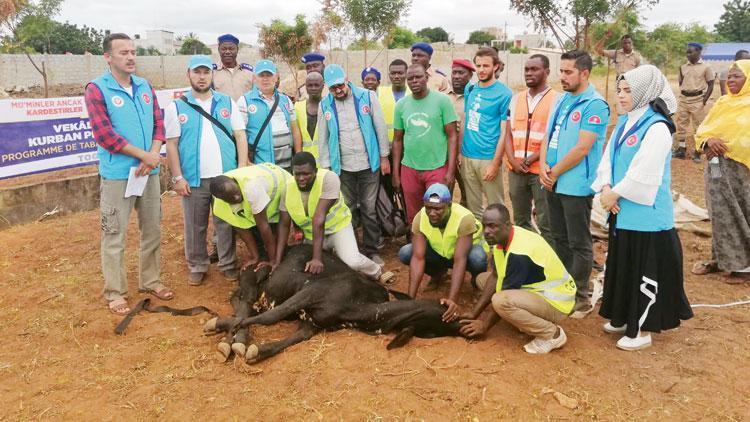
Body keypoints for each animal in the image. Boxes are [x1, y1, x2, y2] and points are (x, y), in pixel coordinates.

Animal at [204, 244, 464, 362]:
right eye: (444, 315)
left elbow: (294, 338)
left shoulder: (312, 322)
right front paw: (229, 329)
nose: (464, 326)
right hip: (255, 277)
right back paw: (227, 332)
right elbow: (271, 316)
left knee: (241, 303)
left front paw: (259, 350)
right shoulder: (311, 292)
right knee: (243, 303)